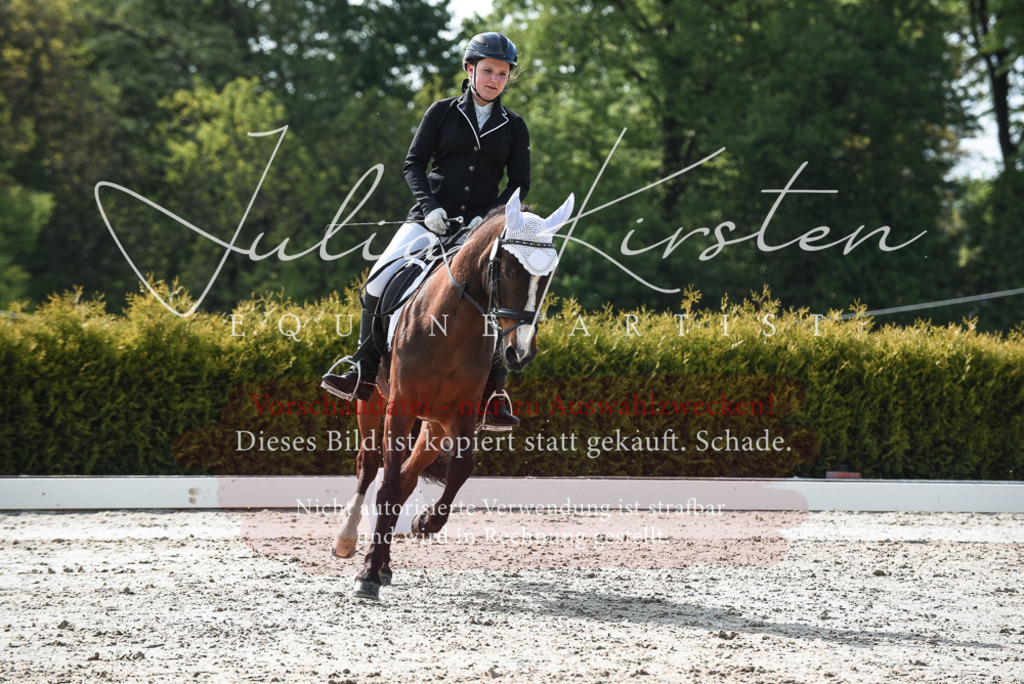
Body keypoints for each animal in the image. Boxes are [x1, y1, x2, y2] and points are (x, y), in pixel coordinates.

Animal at [330, 188, 574, 600]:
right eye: (509, 269)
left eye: (547, 276)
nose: (520, 353)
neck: (449, 327)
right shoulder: (399, 408)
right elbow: (386, 483)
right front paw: (366, 576)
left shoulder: (462, 414)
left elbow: (460, 469)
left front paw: (425, 524)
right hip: (372, 400)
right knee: (369, 467)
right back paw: (348, 543)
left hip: (434, 426)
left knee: (407, 478)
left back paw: (385, 563)